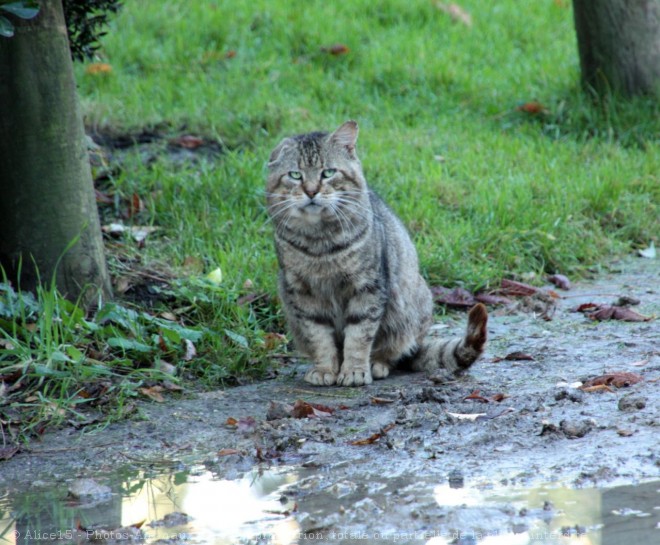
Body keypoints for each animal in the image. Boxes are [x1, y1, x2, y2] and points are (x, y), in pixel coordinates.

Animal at [266, 120, 488, 384]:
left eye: (328, 173)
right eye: (295, 175)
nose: (311, 191)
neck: (319, 242)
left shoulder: (367, 287)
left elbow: (359, 336)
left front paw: (353, 371)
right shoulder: (303, 293)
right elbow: (319, 337)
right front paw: (325, 369)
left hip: (411, 307)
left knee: (393, 352)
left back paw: (376, 364)